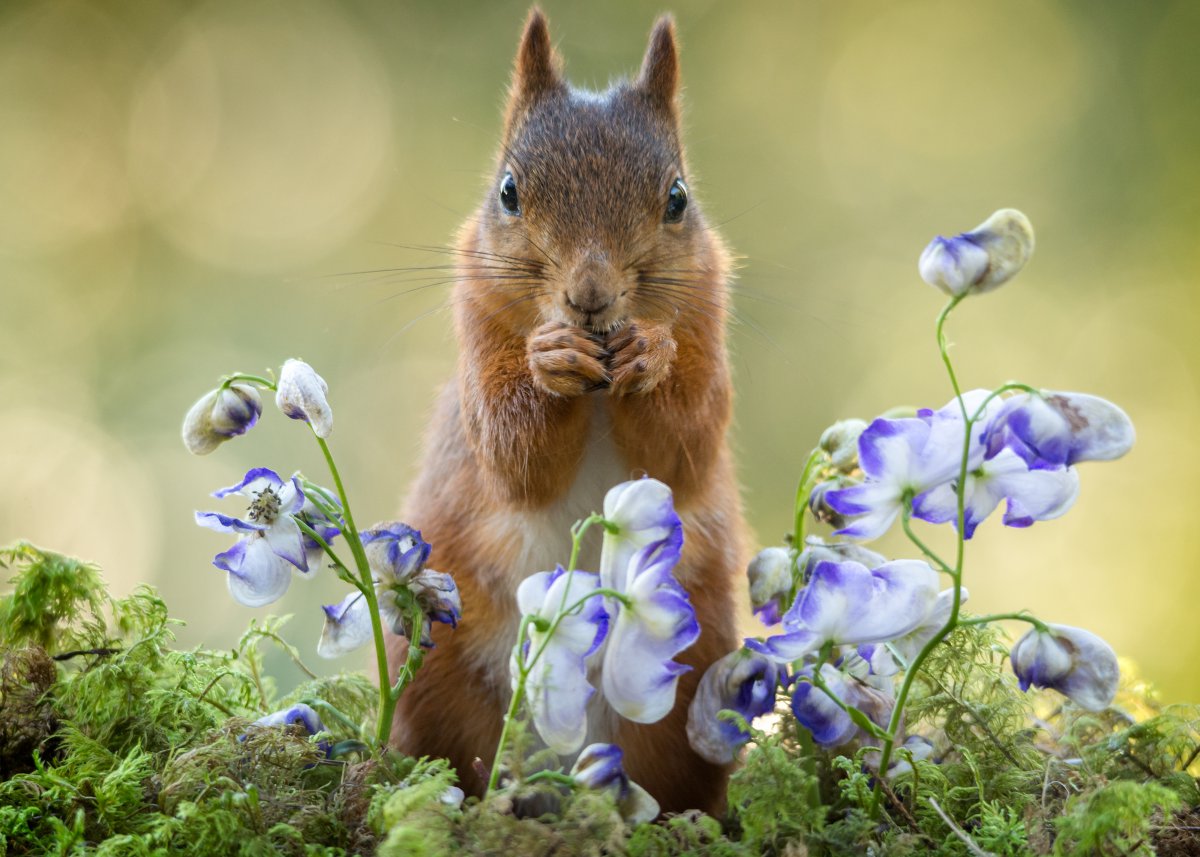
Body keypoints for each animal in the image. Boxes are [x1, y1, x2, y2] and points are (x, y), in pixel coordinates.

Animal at [388, 8, 744, 816]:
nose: (590, 297)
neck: (600, 392)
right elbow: (515, 459)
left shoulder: (707, 327)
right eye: (509, 191)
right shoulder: (480, 334)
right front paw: (549, 359)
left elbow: (684, 446)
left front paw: (649, 354)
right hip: (434, 676)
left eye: (677, 199)